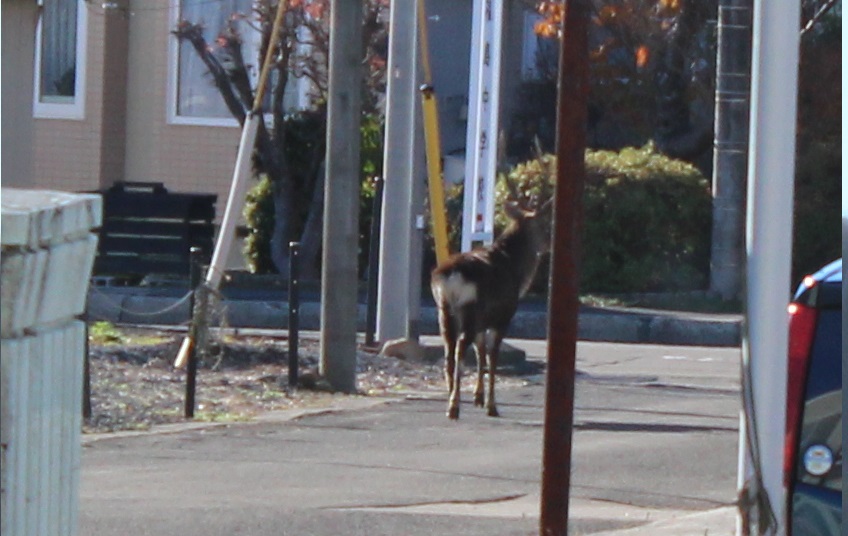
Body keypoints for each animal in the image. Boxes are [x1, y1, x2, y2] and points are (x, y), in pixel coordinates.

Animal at [430, 197, 548, 418]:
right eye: (543, 222)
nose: (548, 244)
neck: (516, 271)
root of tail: (449, 276)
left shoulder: (482, 323)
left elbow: (481, 355)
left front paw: (478, 398)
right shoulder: (502, 319)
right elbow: (492, 358)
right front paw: (491, 405)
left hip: (444, 311)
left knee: (449, 353)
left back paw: (451, 399)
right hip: (469, 309)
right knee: (459, 351)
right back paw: (454, 406)